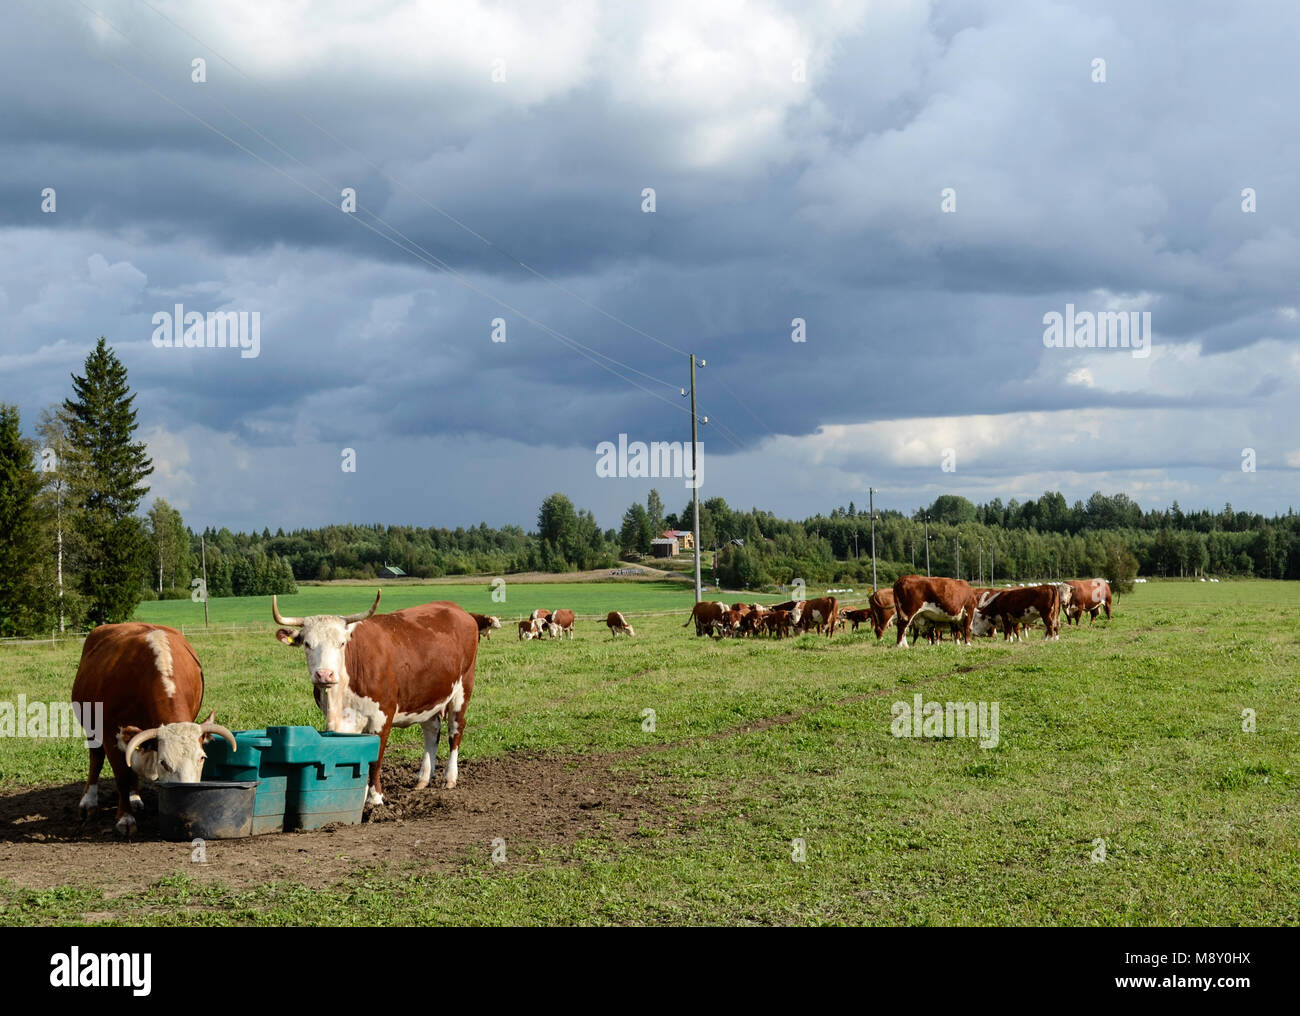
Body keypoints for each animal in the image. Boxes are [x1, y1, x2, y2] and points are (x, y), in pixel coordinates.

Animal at [70, 623, 236, 841]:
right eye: (163, 763)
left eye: (202, 758)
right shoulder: (109, 733)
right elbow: (121, 775)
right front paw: (125, 819)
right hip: (91, 728)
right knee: (96, 759)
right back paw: (88, 802)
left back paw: (134, 798)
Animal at [273, 592, 478, 805]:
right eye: (307, 644)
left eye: (342, 643)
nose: (324, 675)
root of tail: (456, 609)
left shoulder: (382, 717)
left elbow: (375, 760)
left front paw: (374, 798)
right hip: (427, 695)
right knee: (432, 730)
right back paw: (423, 778)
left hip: (463, 688)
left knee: (455, 730)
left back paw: (450, 777)